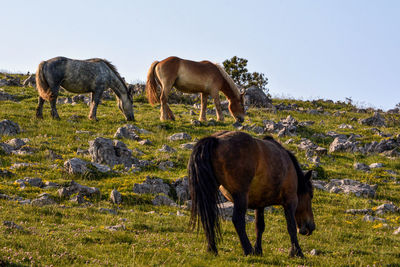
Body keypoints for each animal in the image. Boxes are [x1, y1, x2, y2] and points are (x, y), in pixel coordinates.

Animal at [188, 131, 316, 258]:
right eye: (310, 195)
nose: (311, 227)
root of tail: (216, 140)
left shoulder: (260, 204)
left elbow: (259, 226)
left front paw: (258, 250)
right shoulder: (290, 201)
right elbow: (291, 227)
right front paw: (297, 252)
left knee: (209, 218)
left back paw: (212, 249)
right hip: (240, 195)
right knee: (237, 220)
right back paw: (247, 249)